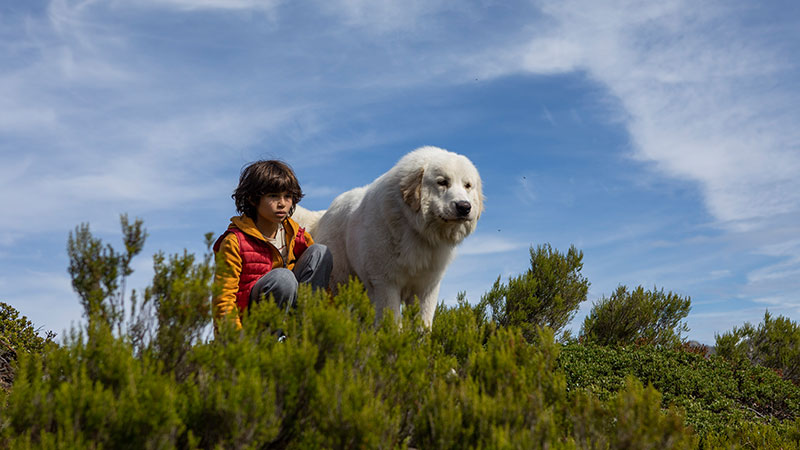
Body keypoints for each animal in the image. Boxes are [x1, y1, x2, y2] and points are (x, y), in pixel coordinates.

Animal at [292, 148, 482, 326]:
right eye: (442, 182)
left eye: (467, 185)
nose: (464, 207)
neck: (415, 229)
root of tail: (323, 215)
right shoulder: (386, 284)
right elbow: (392, 323)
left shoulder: (426, 289)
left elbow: (423, 325)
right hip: (340, 281)